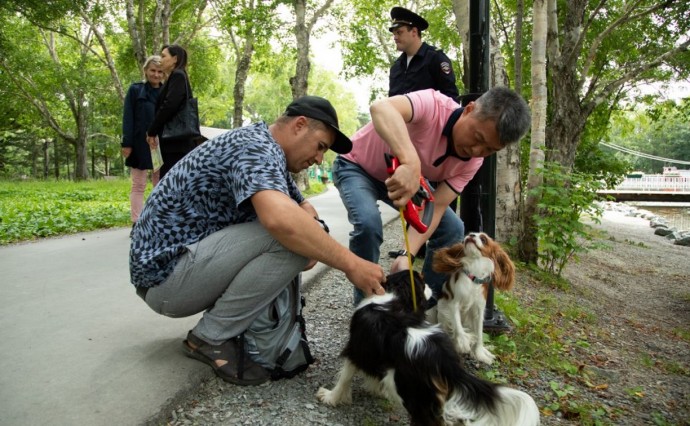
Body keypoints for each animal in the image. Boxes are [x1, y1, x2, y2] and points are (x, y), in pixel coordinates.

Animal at [432, 231, 512, 364]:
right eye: (470, 233)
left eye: (483, 239)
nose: (472, 235)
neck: (475, 269)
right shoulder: (454, 304)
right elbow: (458, 325)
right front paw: (463, 342)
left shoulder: (479, 310)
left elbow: (479, 334)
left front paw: (479, 353)